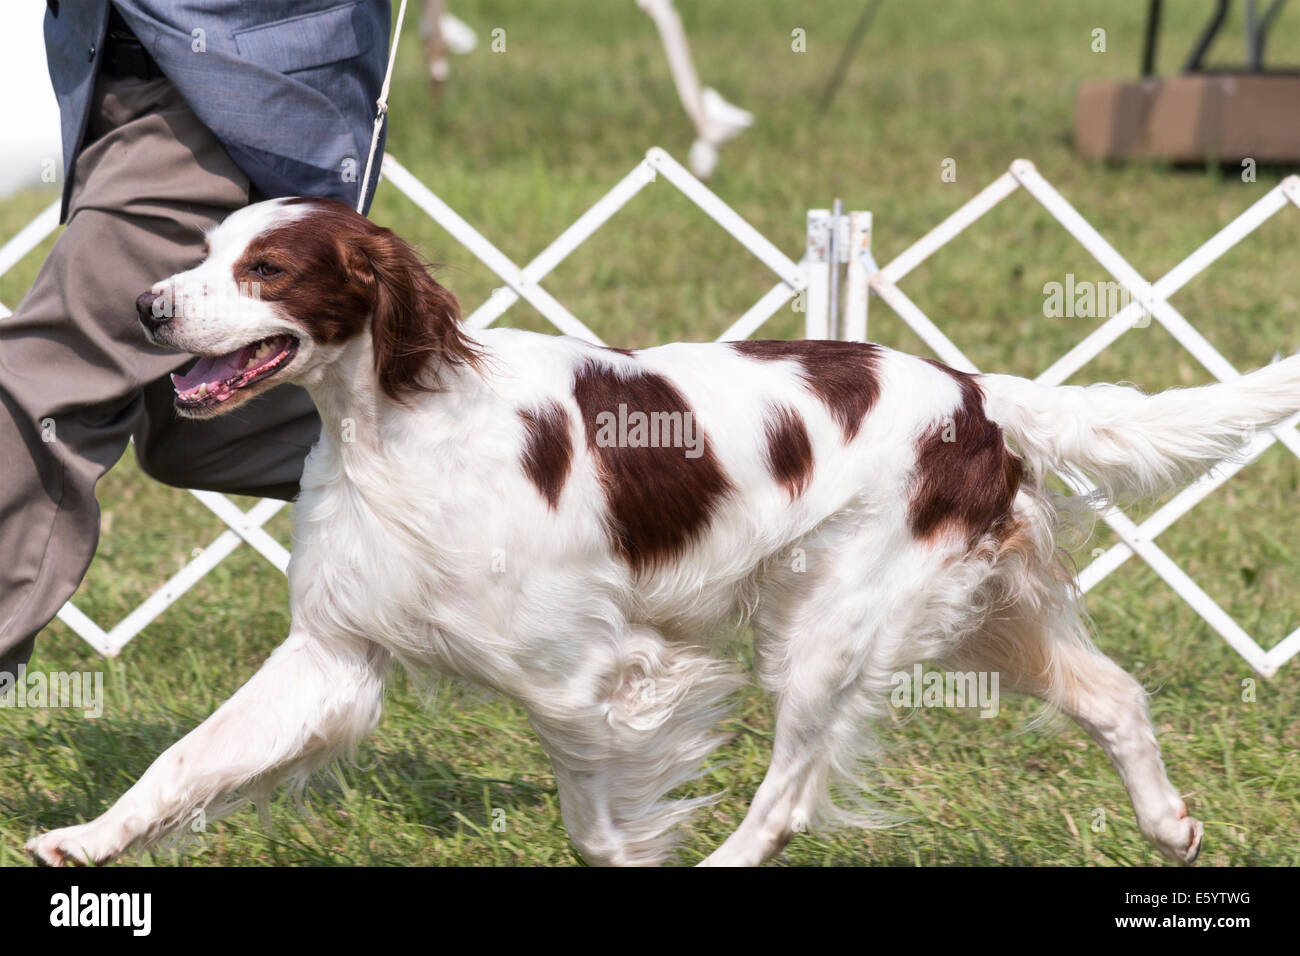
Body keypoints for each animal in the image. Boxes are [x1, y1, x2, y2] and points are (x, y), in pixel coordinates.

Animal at [27, 195, 1300, 868]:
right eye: (201, 252)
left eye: (265, 267)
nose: (146, 306)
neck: (402, 417)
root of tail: (976, 393)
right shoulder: (336, 653)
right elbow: (189, 756)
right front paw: (82, 839)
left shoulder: (594, 673)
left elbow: (600, 824)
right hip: (976, 613)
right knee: (1112, 696)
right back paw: (1171, 823)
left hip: (827, 630)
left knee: (787, 790)